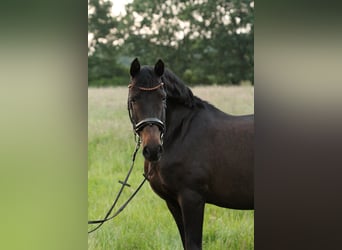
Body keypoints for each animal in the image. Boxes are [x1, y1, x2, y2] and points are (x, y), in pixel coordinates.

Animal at [127, 58, 252, 250]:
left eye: (163, 98)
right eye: (133, 99)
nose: (153, 149)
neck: (180, 134)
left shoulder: (192, 199)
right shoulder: (172, 202)